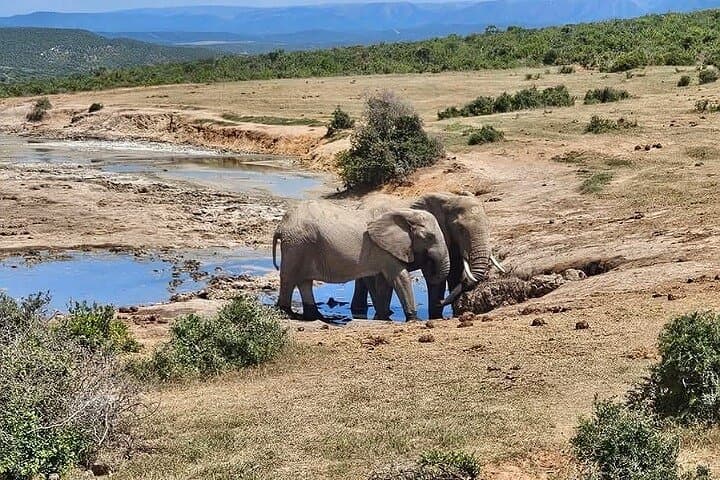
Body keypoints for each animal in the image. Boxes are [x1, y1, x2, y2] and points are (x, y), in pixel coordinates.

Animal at [272, 200, 450, 321]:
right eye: (429, 237)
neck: (406, 213)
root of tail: (281, 225)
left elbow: (385, 282)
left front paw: (383, 316)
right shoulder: (385, 249)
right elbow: (400, 278)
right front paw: (414, 319)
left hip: (302, 245)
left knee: (305, 281)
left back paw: (316, 316)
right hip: (297, 245)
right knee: (289, 278)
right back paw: (287, 312)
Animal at [351, 192, 505, 320]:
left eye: (489, 225)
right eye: (461, 229)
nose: (440, 302)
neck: (450, 198)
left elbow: (454, 272)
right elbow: (438, 276)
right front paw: (436, 316)